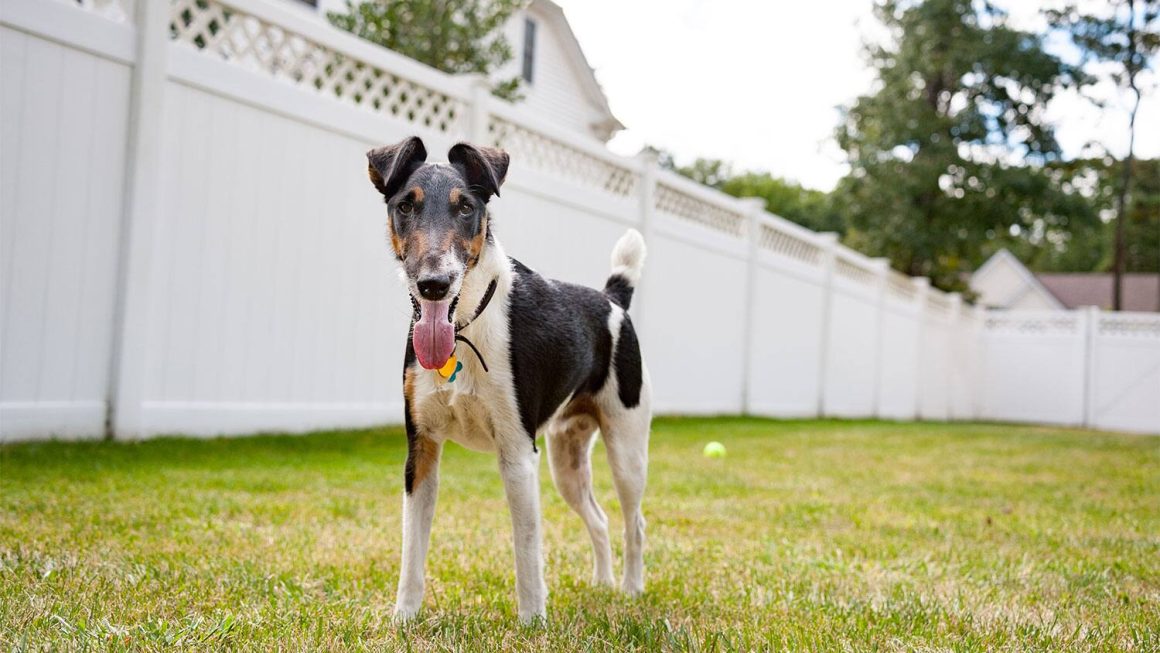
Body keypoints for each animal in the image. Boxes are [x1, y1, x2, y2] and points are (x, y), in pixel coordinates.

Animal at [364, 135, 654, 621]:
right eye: (405, 206)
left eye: (466, 208)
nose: (434, 284)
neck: (466, 322)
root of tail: (613, 300)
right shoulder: (420, 450)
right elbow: (412, 549)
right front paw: (403, 618)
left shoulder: (518, 454)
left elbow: (527, 547)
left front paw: (533, 621)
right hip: (566, 459)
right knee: (599, 519)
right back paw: (603, 584)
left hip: (626, 450)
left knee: (635, 521)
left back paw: (632, 590)